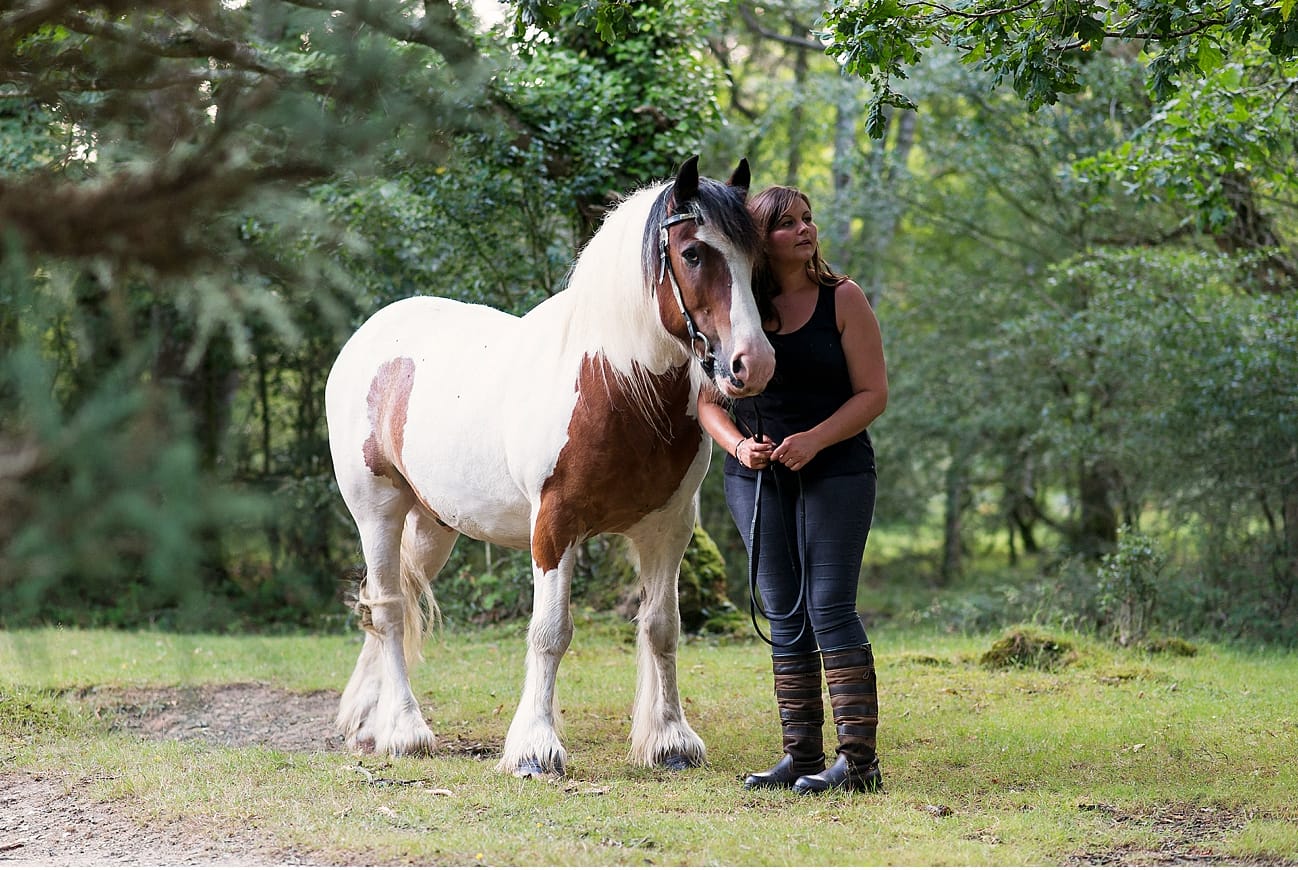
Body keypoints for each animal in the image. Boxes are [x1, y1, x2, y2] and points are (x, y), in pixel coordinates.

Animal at [324, 156, 775, 776]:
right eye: (692, 254)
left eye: (755, 258)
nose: (753, 364)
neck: (616, 384)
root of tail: (368, 340)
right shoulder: (554, 528)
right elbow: (550, 633)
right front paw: (535, 747)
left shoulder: (668, 528)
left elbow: (662, 627)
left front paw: (670, 740)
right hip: (379, 513)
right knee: (390, 610)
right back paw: (406, 731)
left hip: (434, 525)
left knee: (395, 600)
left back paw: (370, 722)